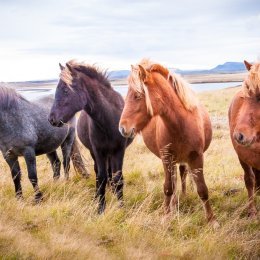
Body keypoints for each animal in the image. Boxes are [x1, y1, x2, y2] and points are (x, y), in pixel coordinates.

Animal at [48, 61, 132, 213]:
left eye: (65, 90)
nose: (52, 119)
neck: (108, 120)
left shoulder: (119, 150)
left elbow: (118, 178)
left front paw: (121, 206)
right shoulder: (98, 151)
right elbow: (101, 177)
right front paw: (100, 207)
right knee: (99, 172)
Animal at [119, 59, 218, 225]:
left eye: (138, 95)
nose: (122, 128)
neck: (181, 123)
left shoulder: (196, 157)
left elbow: (202, 189)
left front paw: (211, 220)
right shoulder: (167, 157)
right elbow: (168, 187)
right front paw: (166, 216)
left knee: (183, 174)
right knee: (176, 179)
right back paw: (174, 203)